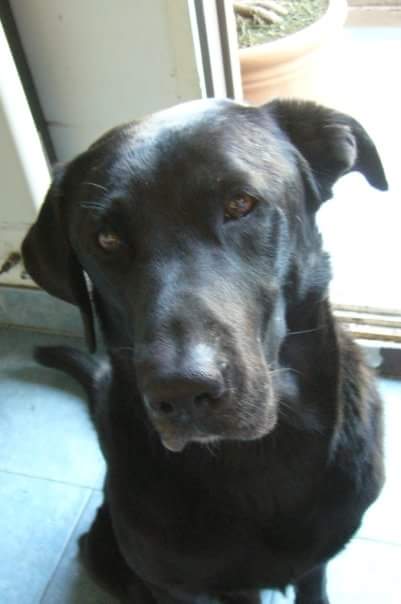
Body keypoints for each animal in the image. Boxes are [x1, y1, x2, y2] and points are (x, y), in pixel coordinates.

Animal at [22, 98, 387, 604]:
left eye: (240, 204)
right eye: (106, 239)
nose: (182, 392)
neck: (260, 460)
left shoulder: (317, 562)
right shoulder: (176, 583)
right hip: (102, 550)